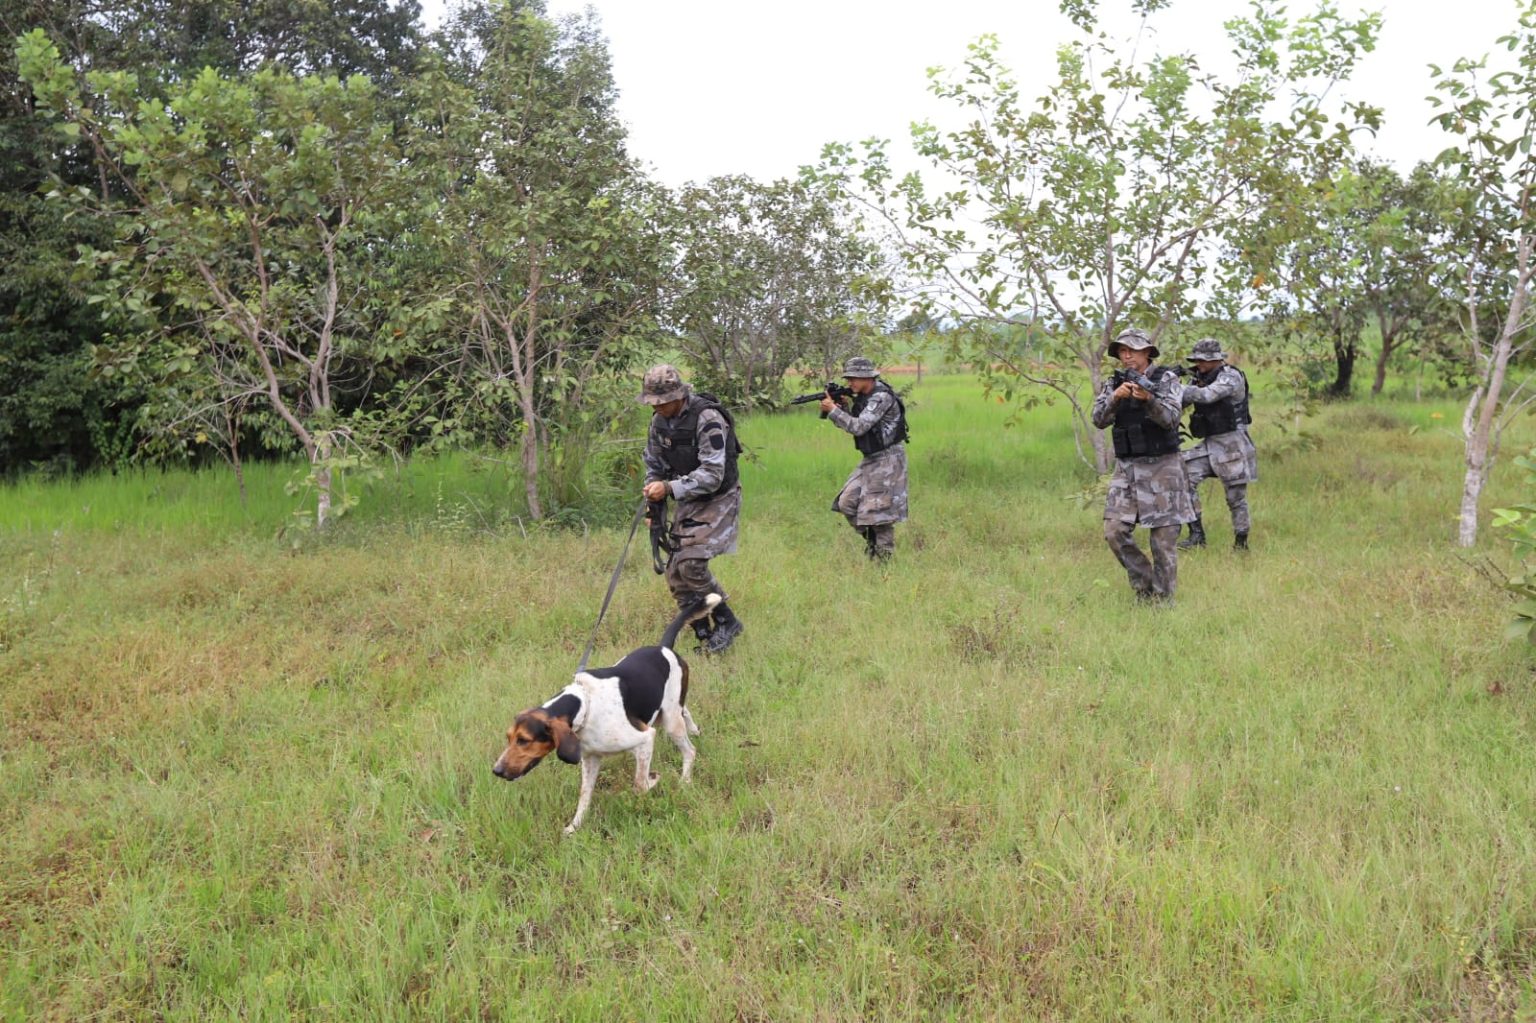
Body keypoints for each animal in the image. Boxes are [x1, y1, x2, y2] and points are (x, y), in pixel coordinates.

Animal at [488, 589, 715, 829]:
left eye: (524, 740)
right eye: (508, 738)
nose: (496, 770)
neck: (586, 705)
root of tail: (664, 647)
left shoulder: (645, 738)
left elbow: (640, 784)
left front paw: (653, 779)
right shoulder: (590, 759)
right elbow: (584, 796)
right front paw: (574, 827)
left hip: (670, 723)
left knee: (689, 751)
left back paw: (685, 780)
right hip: (666, 711)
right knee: (684, 711)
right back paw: (694, 729)